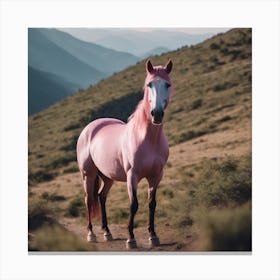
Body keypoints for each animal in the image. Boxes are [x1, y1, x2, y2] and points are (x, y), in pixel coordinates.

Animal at [76, 59, 173, 249]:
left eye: (167, 84)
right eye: (149, 84)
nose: (156, 114)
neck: (148, 139)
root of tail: (90, 127)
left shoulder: (156, 176)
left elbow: (152, 204)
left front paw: (153, 236)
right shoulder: (132, 176)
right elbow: (133, 204)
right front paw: (131, 238)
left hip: (107, 177)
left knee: (101, 197)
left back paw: (107, 232)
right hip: (88, 174)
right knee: (88, 199)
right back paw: (91, 234)